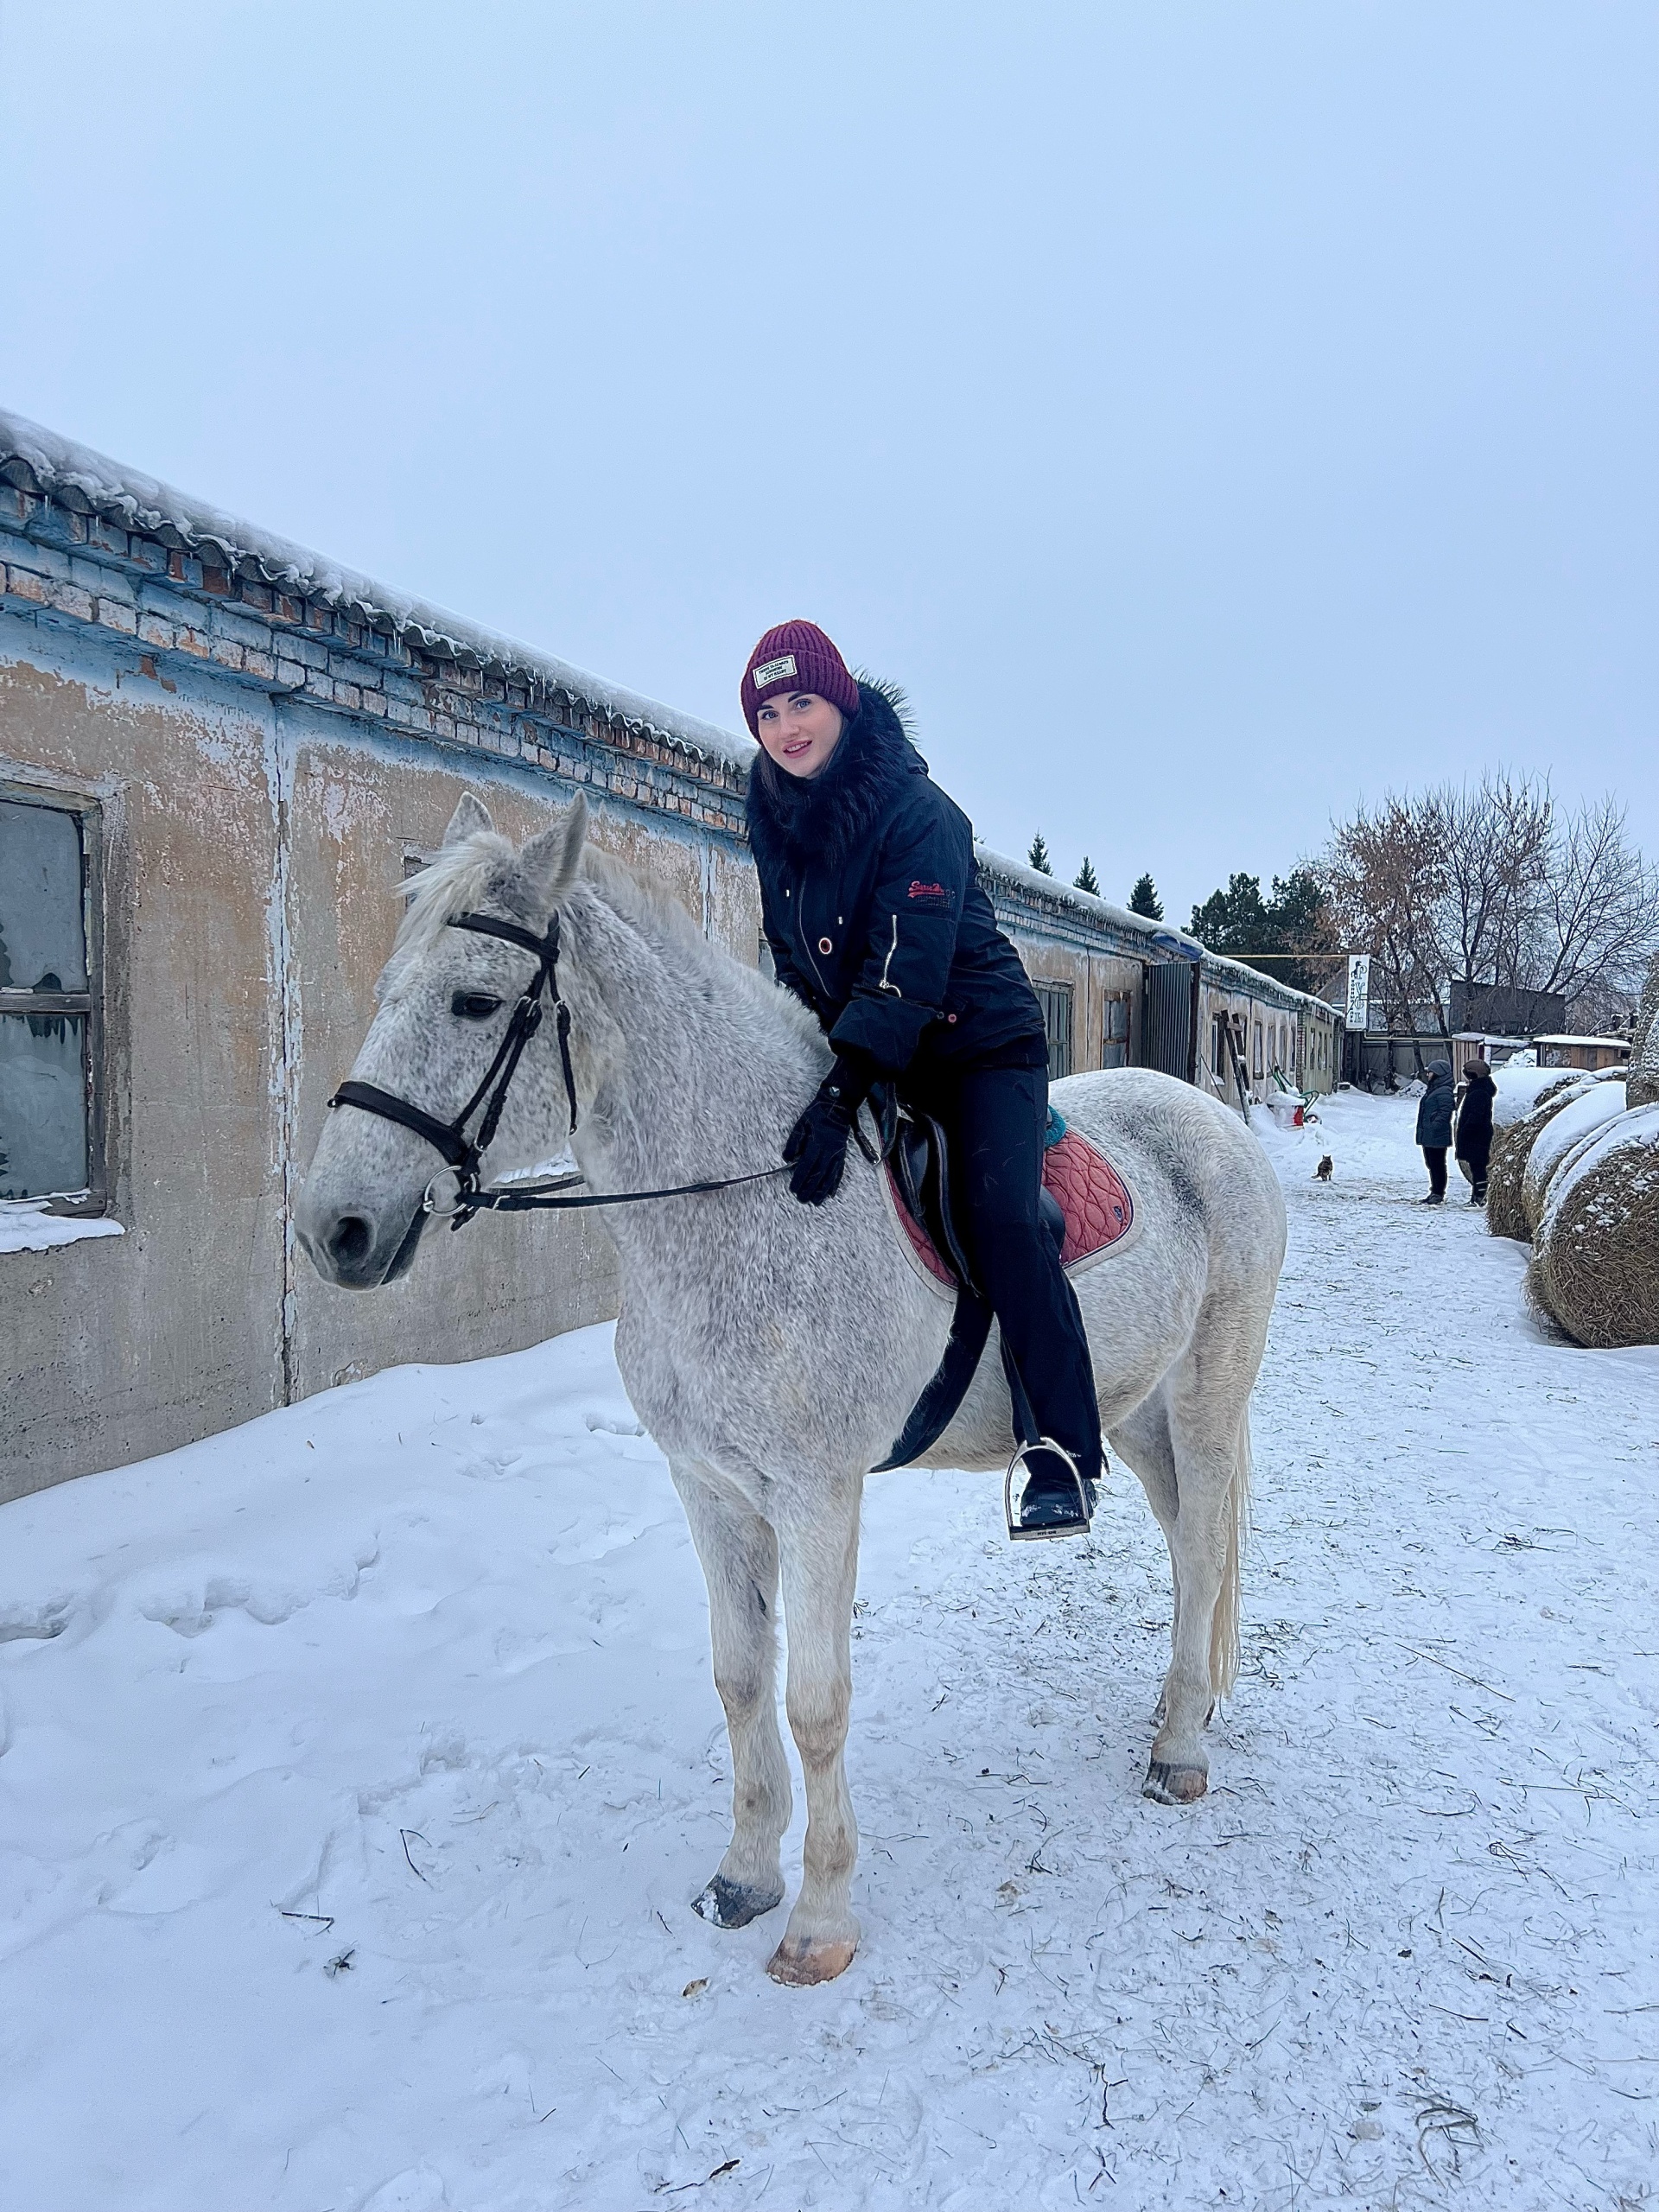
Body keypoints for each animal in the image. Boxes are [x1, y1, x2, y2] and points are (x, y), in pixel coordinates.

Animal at [296, 796, 1282, 1991]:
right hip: (1132, 1409)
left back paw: (1179, 1748)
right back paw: (1177, 1704)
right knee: (1189, 1537)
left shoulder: (818, 1496)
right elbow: (738, 1679)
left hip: (1208, 1395)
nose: (335, 1229)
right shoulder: (710, 1488)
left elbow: (815, 1703)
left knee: (1205, 1545)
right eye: (386, 990)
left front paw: (819, 1922)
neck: (746, 1198)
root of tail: (1217, 1121)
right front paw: (743, 1878)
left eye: (474, 1001)